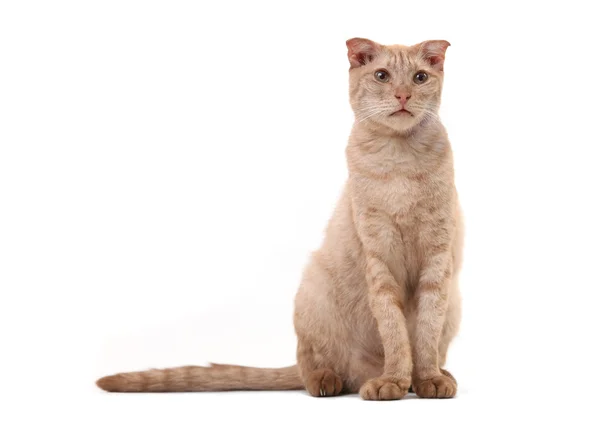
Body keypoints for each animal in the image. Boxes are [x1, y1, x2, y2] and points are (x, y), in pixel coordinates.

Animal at [99, 39, 464, 402]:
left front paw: (428, 379)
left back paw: (428, 377)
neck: (399, 158)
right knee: (310, 367)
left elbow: (425, 334)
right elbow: (394, 333)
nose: (403, 95)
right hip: (312, 288)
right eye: (382, 76)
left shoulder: (437, 262)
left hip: (453, 300)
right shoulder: (379, 259)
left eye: (419, 77)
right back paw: (332, 381)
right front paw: (392, 381)